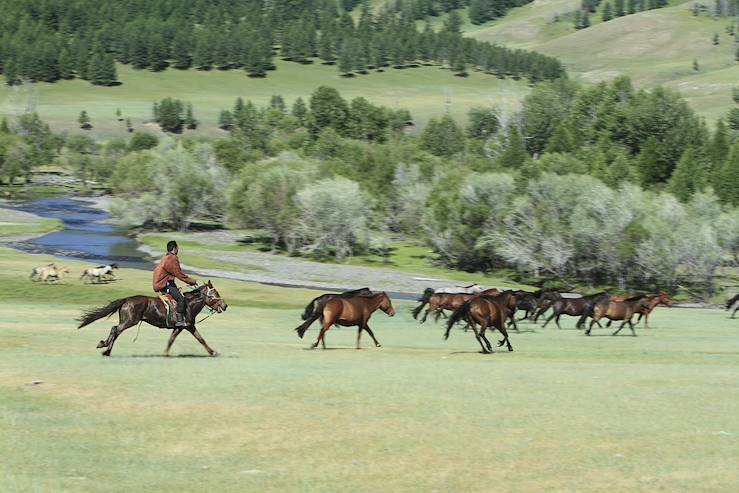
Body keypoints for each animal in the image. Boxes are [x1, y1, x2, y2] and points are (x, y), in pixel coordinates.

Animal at [77, 278, 228, 356]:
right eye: (215, 293)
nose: (225, 305)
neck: (189, 305)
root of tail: (126, 300)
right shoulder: (188, 326)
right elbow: (200, 339)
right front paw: (213, 352)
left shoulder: (182, 327)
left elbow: (173, 339)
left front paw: (165, 353)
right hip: (129, 321)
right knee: (115, 329)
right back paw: (104, 346)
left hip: (127, 321)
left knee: (116, 331)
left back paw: (106, 350)